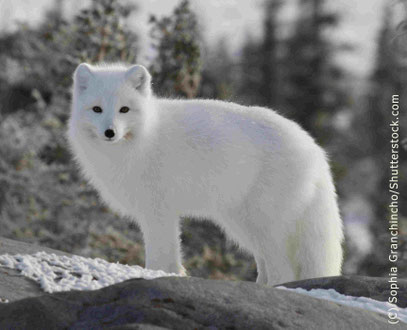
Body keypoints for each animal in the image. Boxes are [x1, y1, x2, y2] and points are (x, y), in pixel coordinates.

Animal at [67, 63, 344, 284]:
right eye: (96, 109)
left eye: (124, 109)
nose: (110, 132)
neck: (144, 138)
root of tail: (313, 148)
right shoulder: (156, 213)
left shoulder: (159, 212)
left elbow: (161, 256)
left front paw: (157, 276)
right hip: (243, 224)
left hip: (264, 223)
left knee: (284, 270)